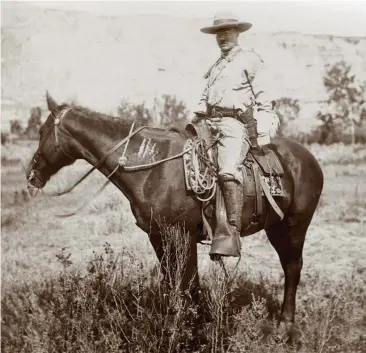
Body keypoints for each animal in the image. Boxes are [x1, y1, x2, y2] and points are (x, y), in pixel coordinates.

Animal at [25, 93, 324, 332]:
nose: (32, 174)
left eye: (41, 132)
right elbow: (173, 281)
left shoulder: (180, 234)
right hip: (276, 226)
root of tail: (308, 157)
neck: (152, 165)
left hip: (295, 225)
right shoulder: (158, 235)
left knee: (293, 267)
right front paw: (184, 322)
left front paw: (189, 328)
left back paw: (285, 324)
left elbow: (187, 282)